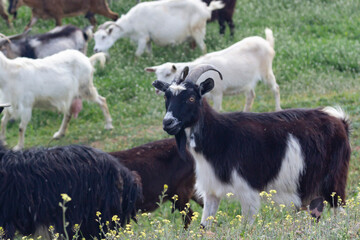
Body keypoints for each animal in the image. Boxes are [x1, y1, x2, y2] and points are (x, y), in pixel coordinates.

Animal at [91, 0, 224, 56]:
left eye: (104, 36)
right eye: (95, 37)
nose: (96, 50)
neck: (131, 22)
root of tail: (206, 9)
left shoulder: (142, 37)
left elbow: (137, 54)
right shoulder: (148, 39)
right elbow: (149, 53)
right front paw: (149, 61)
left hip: (198, 31)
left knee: (204, 47)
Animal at [146, 27, 282, 111]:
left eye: (168, 74)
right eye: (156, 75)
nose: (157, 91)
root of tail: (267, 43)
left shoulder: (217, 94)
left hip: (266, 71)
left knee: (275, 88)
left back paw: (278, 108)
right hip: (247, 81)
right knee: (250, 96)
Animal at [153, 64, 352, 227]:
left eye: (191, 98)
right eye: (167, 97)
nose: (168, 123)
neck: (219, 136)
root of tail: (340, 122)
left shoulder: (247, 190)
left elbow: (246, 227)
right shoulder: (211, 191)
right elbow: (204, 226)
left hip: (335, 179)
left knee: (340, 212)